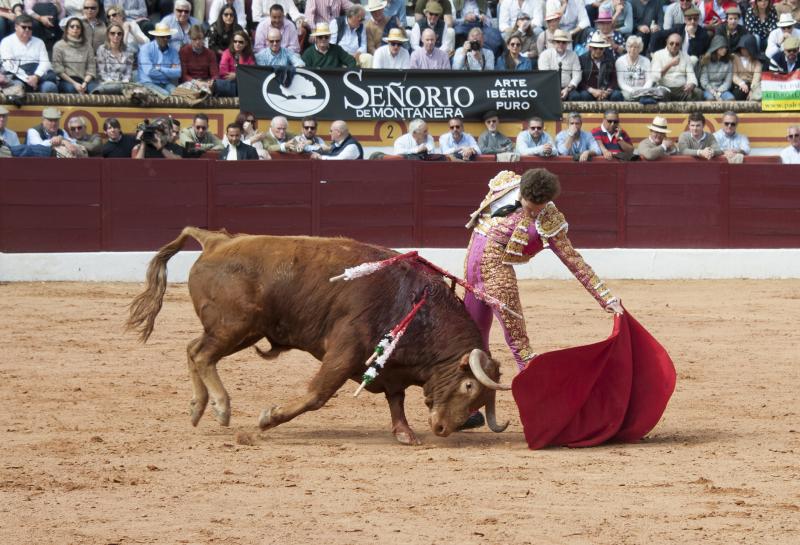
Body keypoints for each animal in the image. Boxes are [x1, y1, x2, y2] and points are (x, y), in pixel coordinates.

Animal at [128, 227, 510, 444]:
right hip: (236, 326)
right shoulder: (346, 349)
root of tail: (215, 241)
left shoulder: (390, 364)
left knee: (193, 349)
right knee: (201, 354)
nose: (444, 429)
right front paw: (269, 419)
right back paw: (221, 409)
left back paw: (198, 407)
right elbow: (318, 394)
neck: (417, 304)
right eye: (468, 386)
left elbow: (396, 398)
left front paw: (404, 433)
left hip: (235, 330)